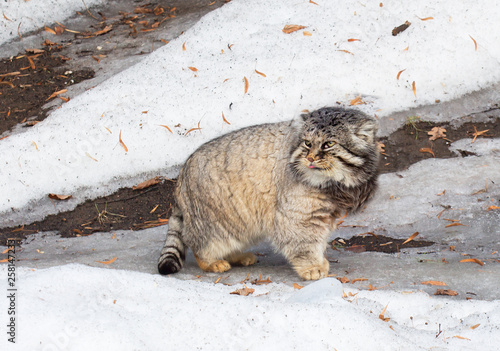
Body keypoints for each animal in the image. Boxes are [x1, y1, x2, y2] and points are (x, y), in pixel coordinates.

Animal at [158, 107, 376, 280]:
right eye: (307, 143)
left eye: (329, 144)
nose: (310, 158)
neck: (333, 183)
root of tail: (182, 175)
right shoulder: (299, 216)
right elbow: (305, 242)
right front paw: (312, 265)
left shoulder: (324, 213)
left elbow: (319, 239)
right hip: (216, 221)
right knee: (198, 243)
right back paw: (211, 261)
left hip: (240, 222)